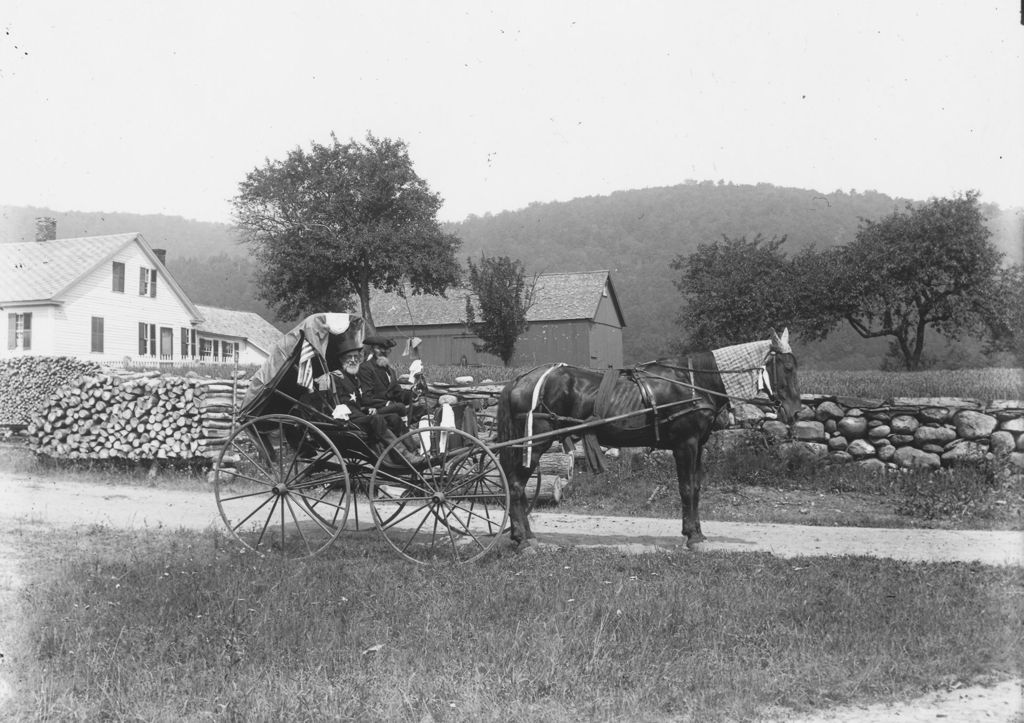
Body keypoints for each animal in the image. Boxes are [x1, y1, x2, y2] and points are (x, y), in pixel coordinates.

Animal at [495, 327, 798, 544]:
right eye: (787, 368)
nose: (795, 412)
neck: (693, 383)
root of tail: (523, 379)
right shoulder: (685, 444)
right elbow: (686, 488)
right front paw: (691, 536)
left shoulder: (698, 445)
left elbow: (696, 488)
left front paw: (697, 531)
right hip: (535, 442)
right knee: (516, 485)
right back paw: (523, 539)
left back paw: (524, 534)